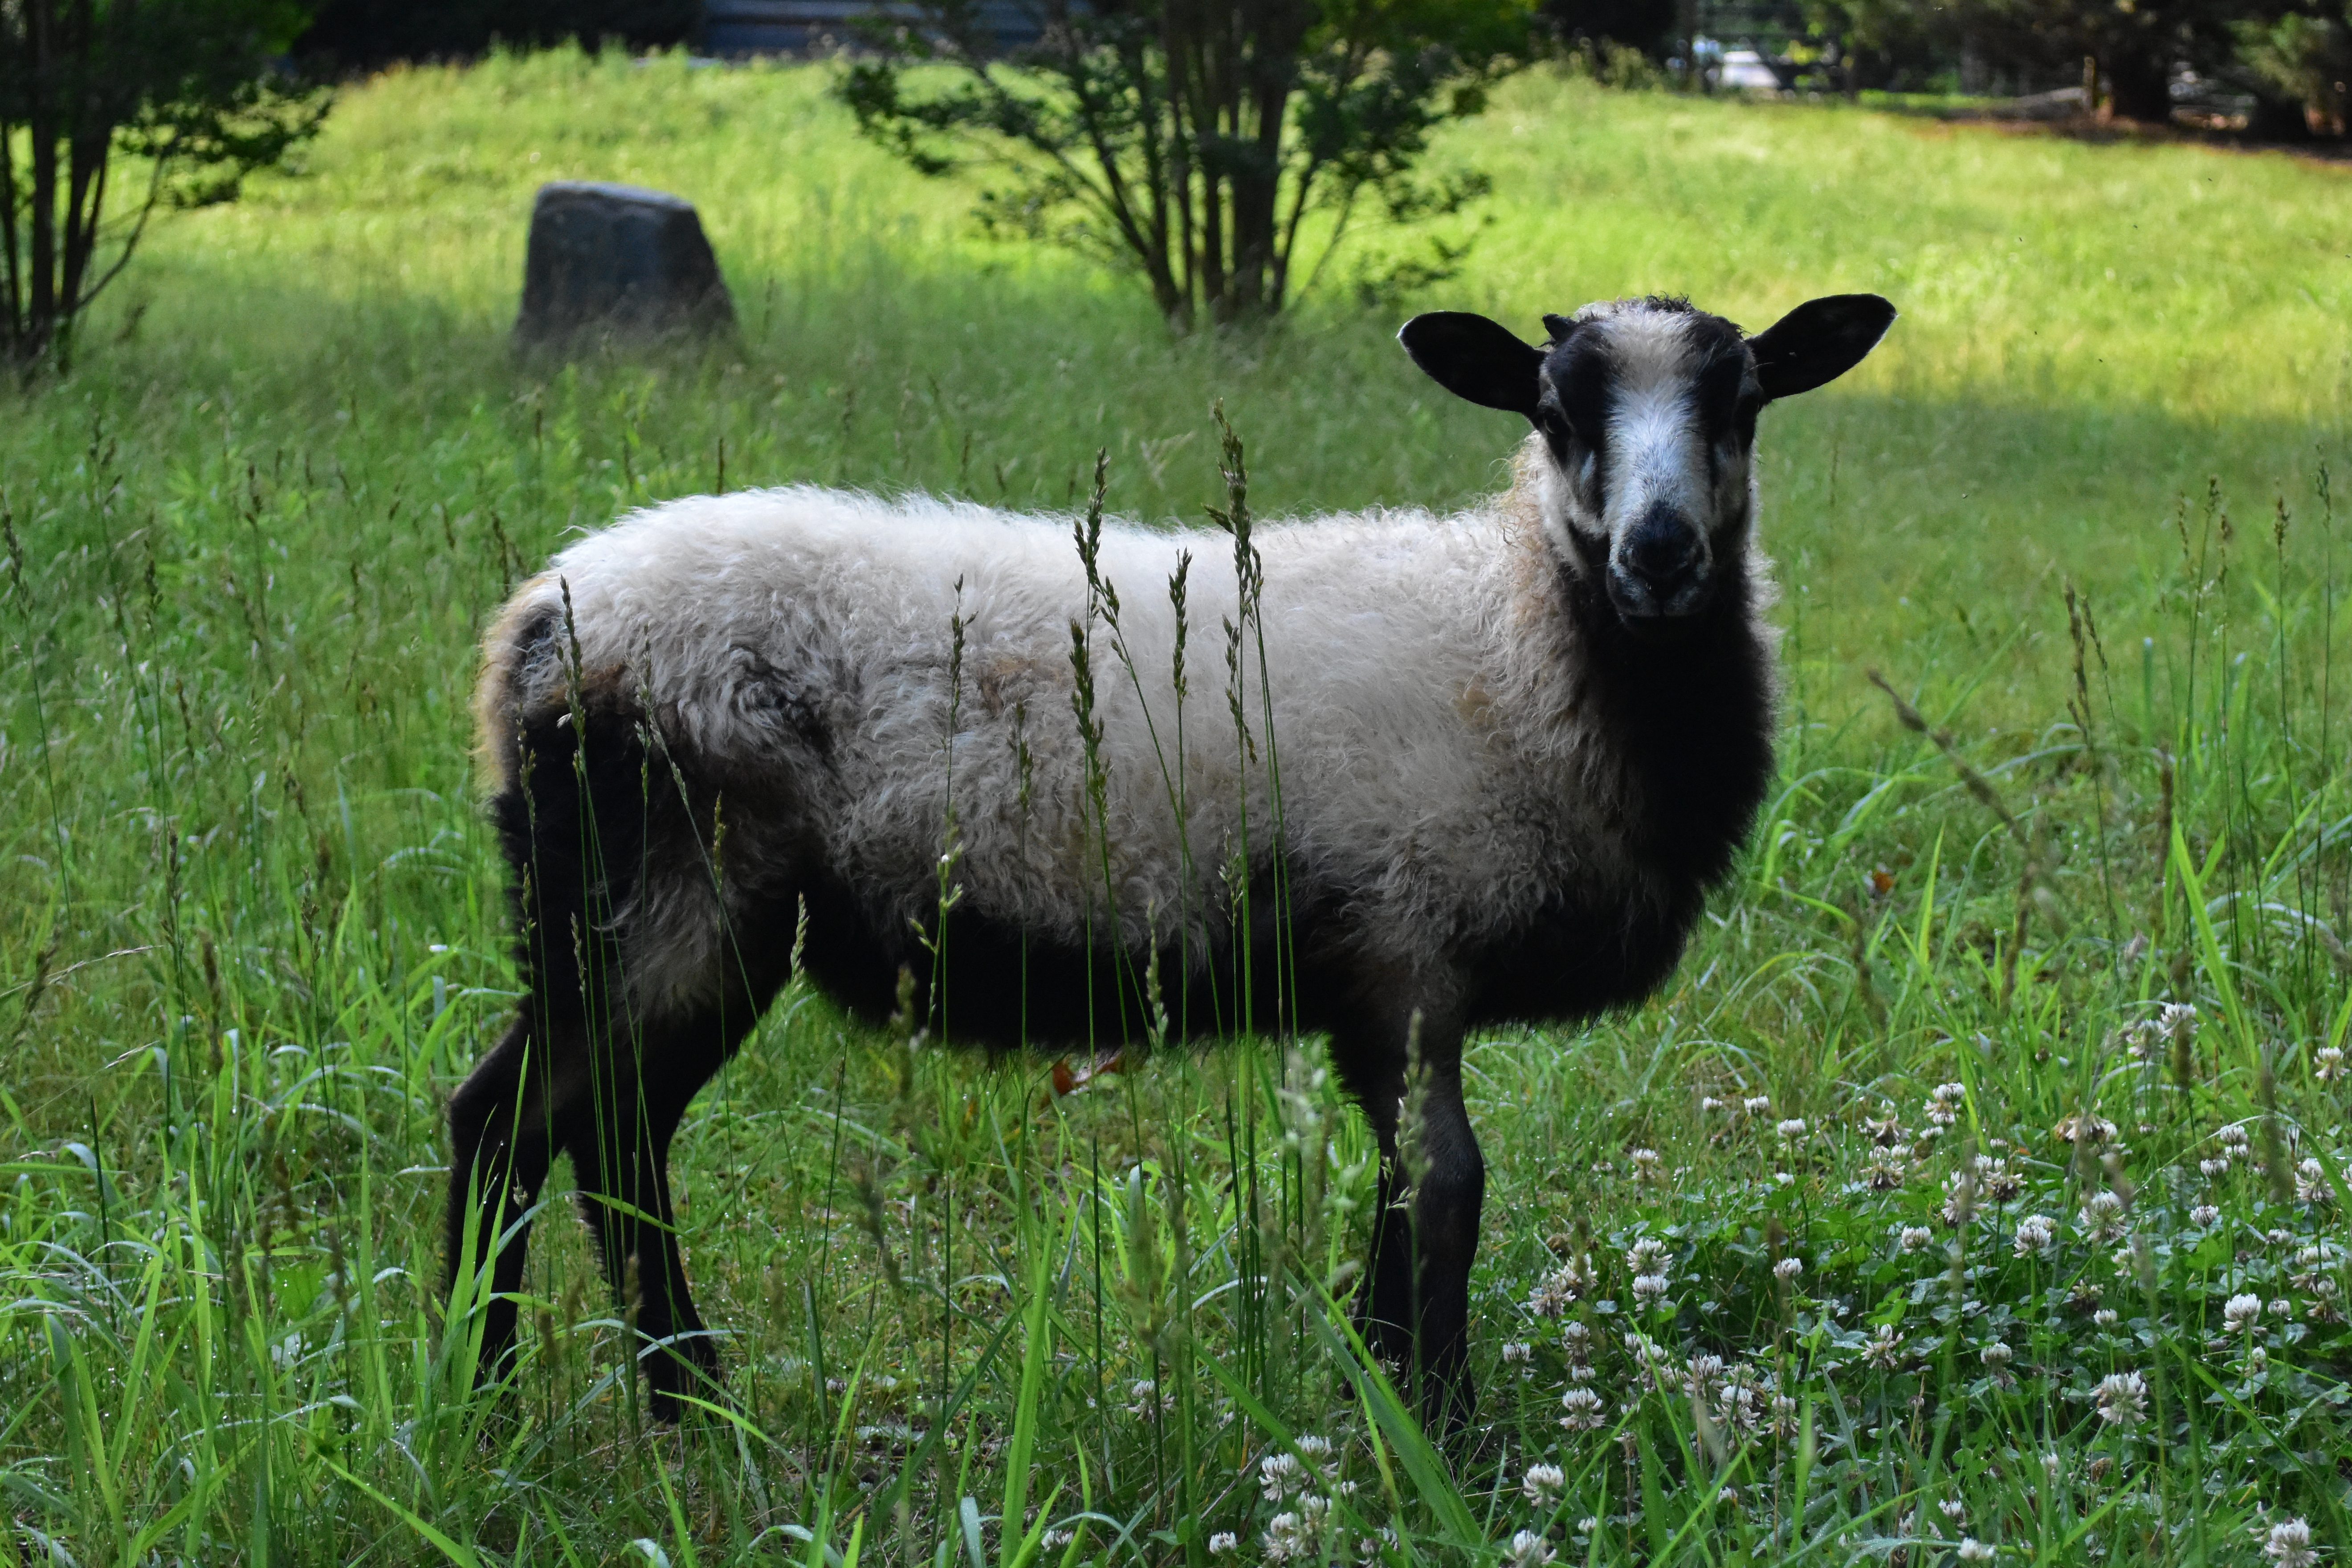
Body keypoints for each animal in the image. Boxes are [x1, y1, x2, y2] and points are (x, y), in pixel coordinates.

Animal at [445, 290, 1896, 1427]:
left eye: (1742, 400)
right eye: (1552, 412)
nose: (1659, 552)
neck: (1519, 639)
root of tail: (533, 626)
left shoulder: (1370, 987)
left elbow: (1395, 1198)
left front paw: (1379, 1395)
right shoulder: (1404, 949)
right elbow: (1445, 1190)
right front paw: (1442, 1439)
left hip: (662, 919)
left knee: (592, 1133)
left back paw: (646, 1399)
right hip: (662, 895)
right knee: (528, 1124)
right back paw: (521, 1399)